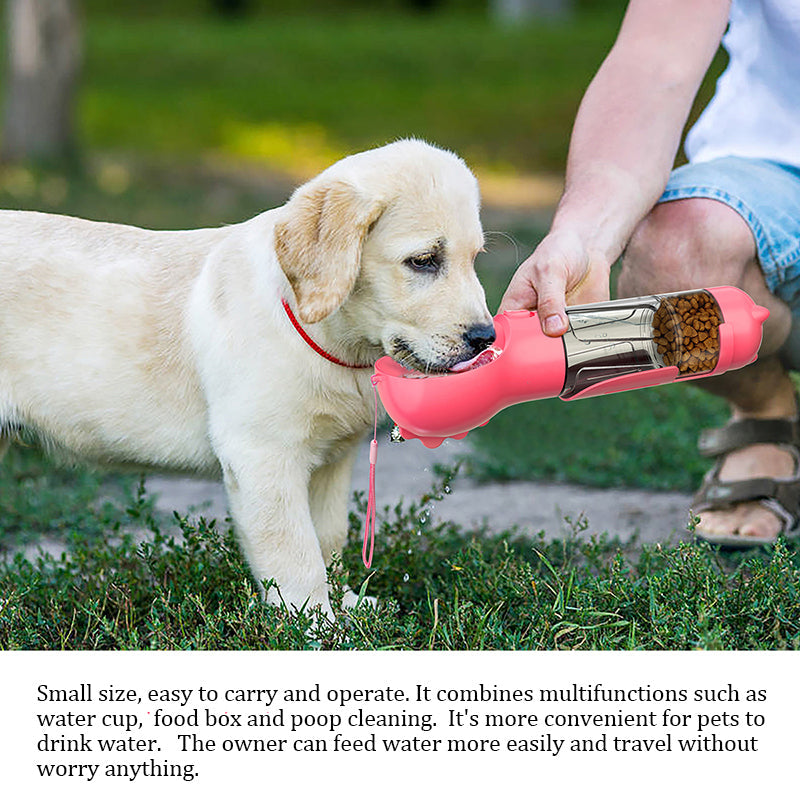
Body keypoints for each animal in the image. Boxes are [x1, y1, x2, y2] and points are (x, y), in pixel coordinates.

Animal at [0, 139, 494, 620]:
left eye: (475, 259)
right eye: (424, 261)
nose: (486, 338)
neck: (328, 338)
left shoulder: (333, 461)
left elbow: (328, 538)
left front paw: (347, 605)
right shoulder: (262, 455)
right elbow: (295, 552)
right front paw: (316, 624)